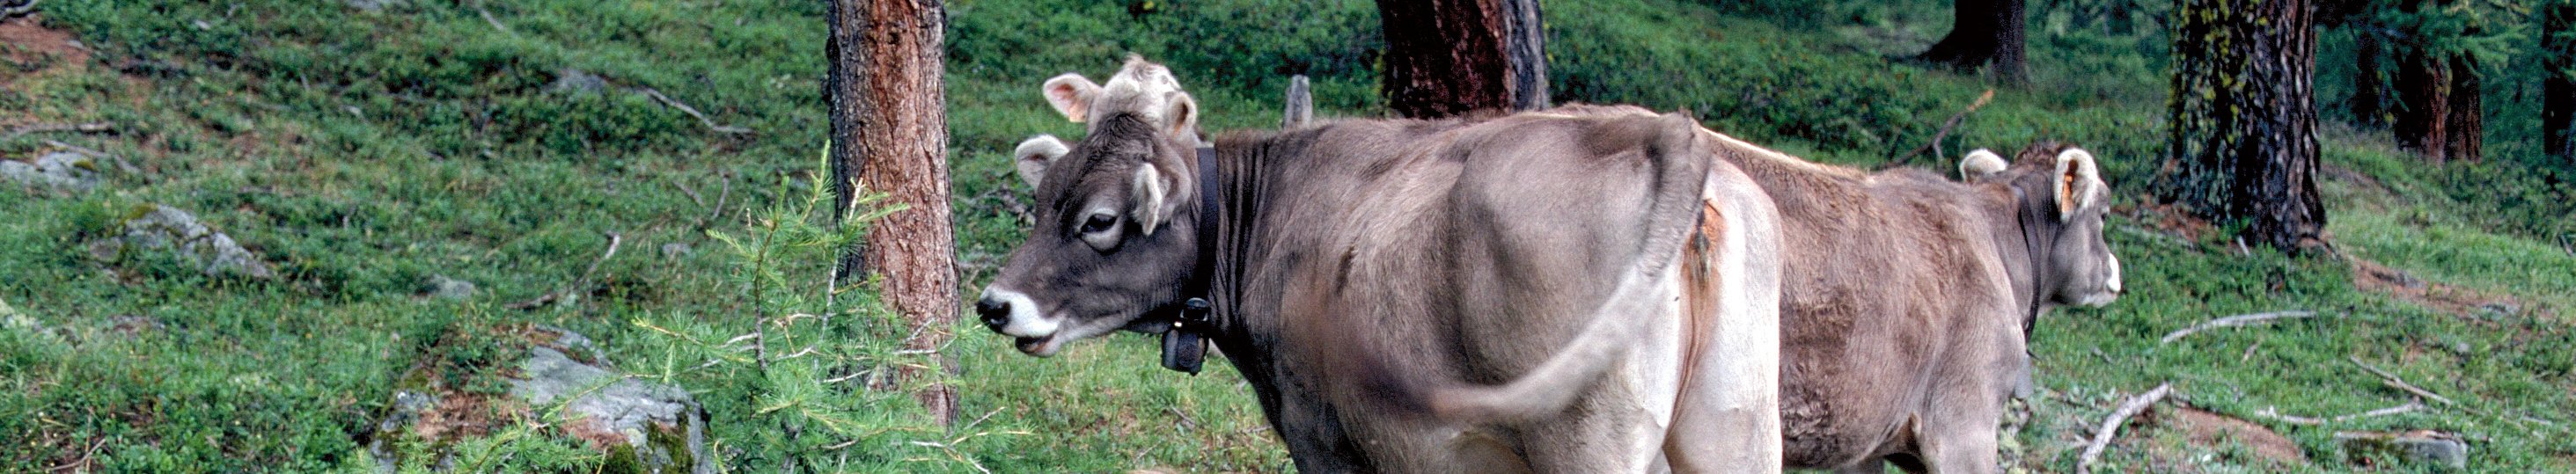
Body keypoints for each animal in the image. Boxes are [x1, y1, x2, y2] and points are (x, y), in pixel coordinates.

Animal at [974, 56, 1788, 473]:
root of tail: (1657, 131)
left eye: (1098, 220)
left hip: (1587, 442)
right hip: (1735, 428)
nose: (993, 303)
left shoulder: (1319, 435)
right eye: (1041, 200)